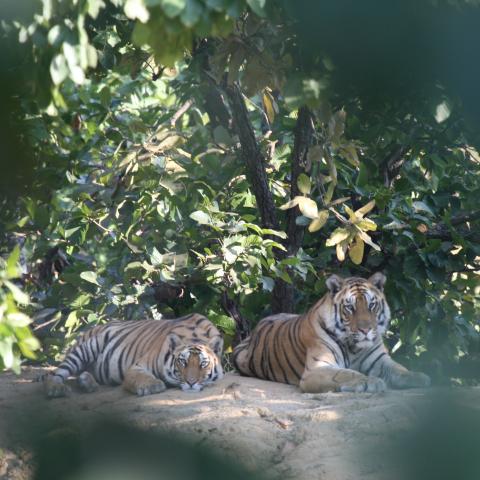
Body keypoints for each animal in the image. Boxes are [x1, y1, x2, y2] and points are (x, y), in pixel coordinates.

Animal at [43, 312, 223, 398]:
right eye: (183, 362)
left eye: (203, 364)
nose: (191, 383)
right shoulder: (136, 366)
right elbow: (140, 377)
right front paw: (152, 386)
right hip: (85, 348)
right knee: (57, 373)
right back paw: (55, 389)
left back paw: (88, 383)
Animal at [232, 274, 432, 394]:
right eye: (350, 307)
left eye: (371, 305)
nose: (365, 330)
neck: (355, 348)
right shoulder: (316, 368)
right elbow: (346, 373)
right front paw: (370, 381)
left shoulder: (380, 360)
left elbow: (399, 369)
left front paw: (418, 376)